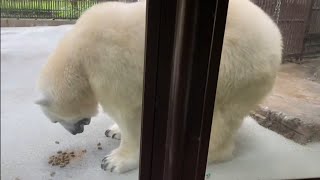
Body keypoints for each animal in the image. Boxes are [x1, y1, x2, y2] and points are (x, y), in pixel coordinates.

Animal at [35, 0, 282, 174]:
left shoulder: (109, 67)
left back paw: (208, 154)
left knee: (220, 116)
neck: (78, 54)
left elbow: (128, 115)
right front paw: (113, 130)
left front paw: (113, 161)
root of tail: (276, 37)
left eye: (56, 120)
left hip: (238, 70)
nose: (76, 131)